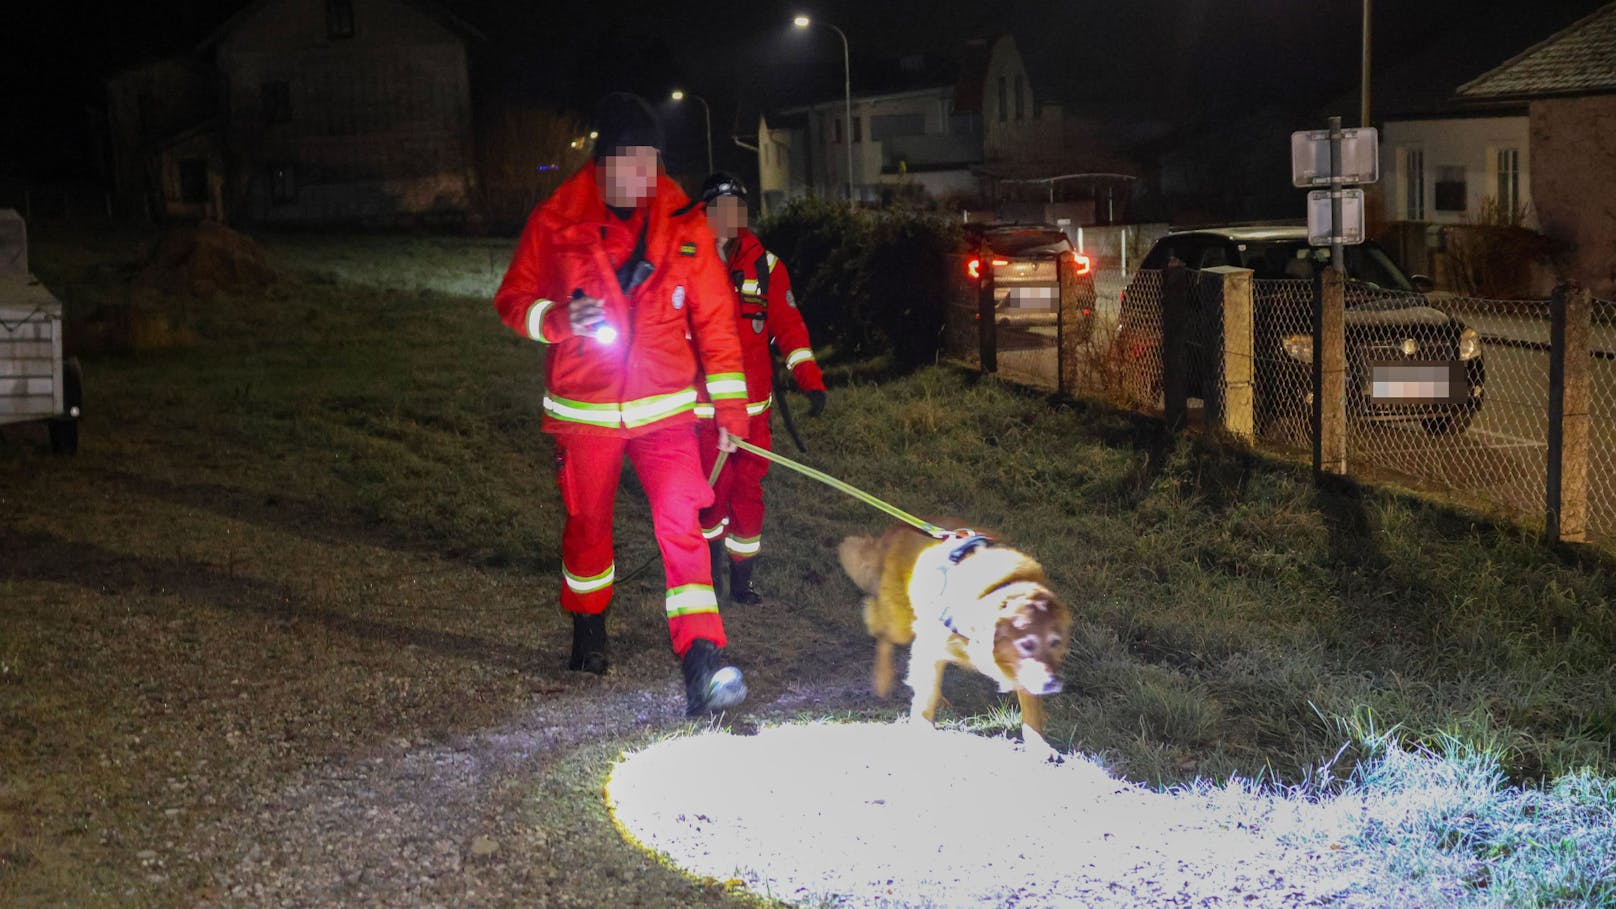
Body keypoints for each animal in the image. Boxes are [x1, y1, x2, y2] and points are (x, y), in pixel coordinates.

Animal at [840, 520, 1066, 740]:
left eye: (1055, 643)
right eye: (1026, 644)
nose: (1053, 683)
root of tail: (898, 528)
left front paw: (1038, 741)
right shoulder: (929, 644)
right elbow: (926, 689)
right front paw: (922, 723)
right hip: (899, 620)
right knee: (882, 631)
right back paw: (883, 678)